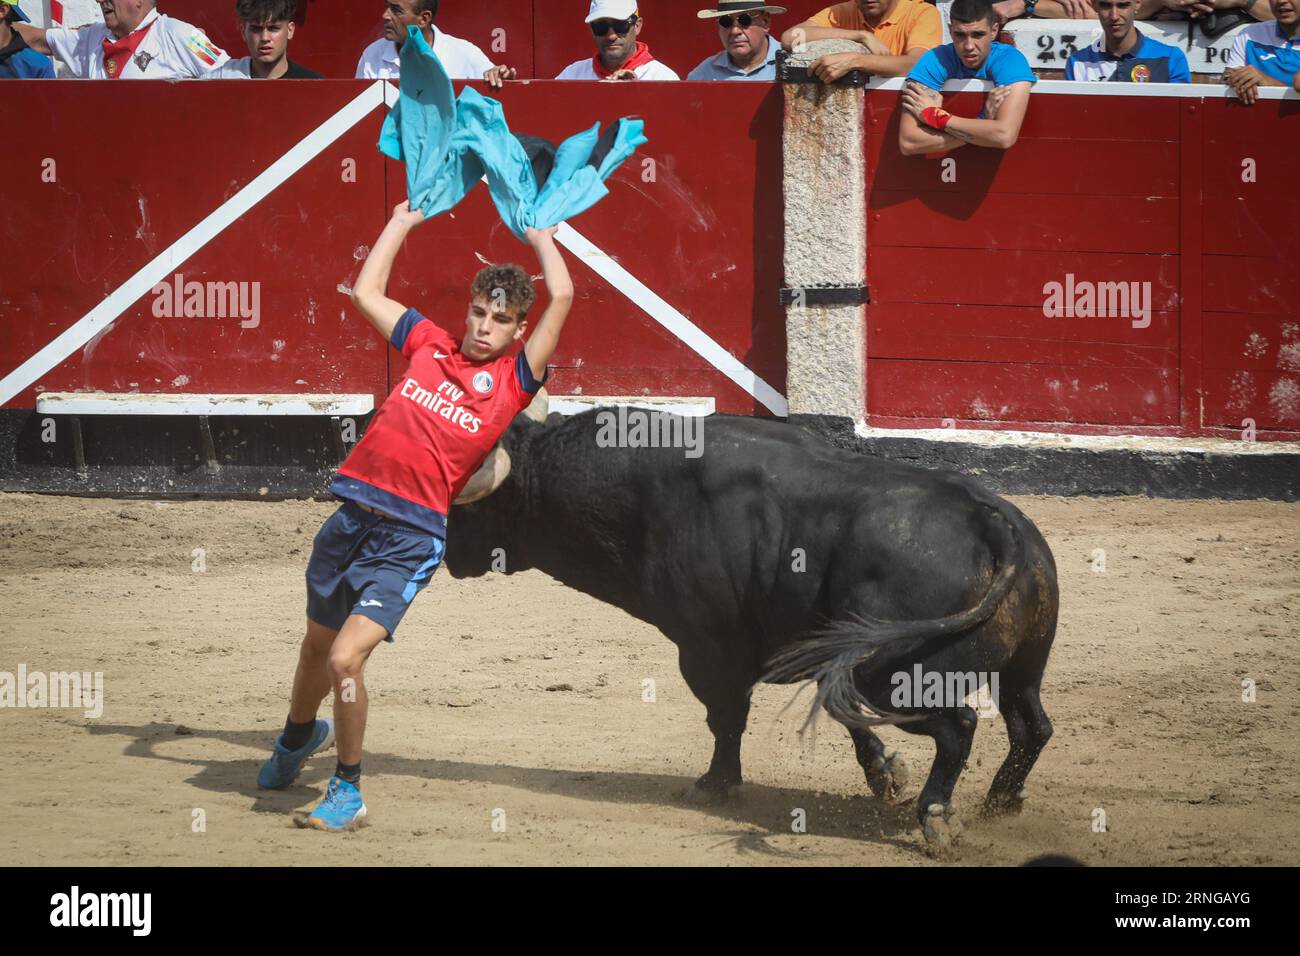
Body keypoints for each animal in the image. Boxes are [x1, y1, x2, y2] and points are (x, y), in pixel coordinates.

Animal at [444, 408, 1055, 842]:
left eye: (461, 505)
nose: (444, 553)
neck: (638, 491)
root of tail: (991, 520)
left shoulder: (708, 650)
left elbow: (726, 718)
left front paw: (716, 785)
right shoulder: (809, 648)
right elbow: (835, 709)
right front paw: (884, 772)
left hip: (892, 673)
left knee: (958, 727)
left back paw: (938, 818)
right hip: (1023, 666)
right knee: (1031, 726)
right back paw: (1000, 804)